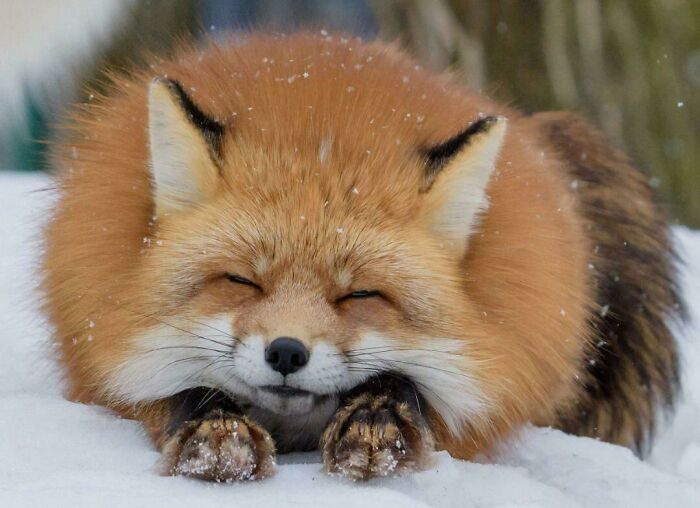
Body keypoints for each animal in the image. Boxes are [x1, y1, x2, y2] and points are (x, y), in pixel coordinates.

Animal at [42, 33, 682, 482]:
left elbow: (407, 386)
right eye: (242, 281)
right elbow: (184, 393)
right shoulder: (108, 357)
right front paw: (213, 431)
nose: (286, 351)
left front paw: (378, 421)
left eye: (359, 294)